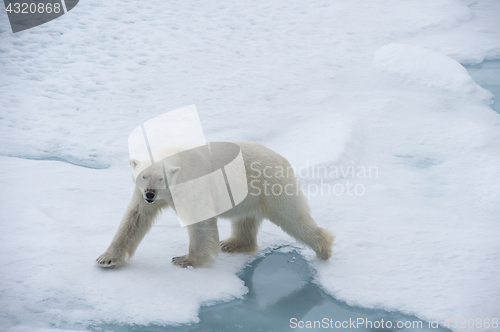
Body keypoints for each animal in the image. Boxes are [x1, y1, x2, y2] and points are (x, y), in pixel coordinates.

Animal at [95, 141, 334, 268]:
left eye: (161, 178)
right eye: (144, 176)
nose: (150, 194)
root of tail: (283, 158)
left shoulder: (192, 184)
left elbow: (200, 220)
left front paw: (185, 260)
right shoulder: (142, 194)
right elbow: (135, 218)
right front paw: (106, 258)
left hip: (272, 186)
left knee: (292, 216)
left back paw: (323, 248)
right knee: (245, 219)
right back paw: (233, 244)